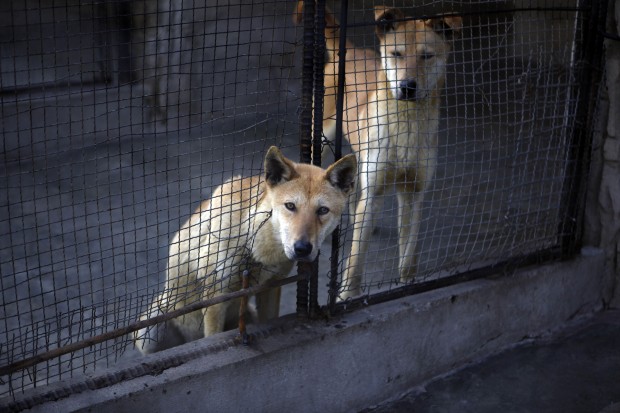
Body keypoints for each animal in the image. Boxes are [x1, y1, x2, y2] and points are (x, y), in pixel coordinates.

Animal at [136, 146, 358, 352]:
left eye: (322, 211)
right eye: (290, 206)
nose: (302, 248)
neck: (253, 243)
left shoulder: (271, 286)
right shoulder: (216, 295)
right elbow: (213, 337)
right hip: (148, 329)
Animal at [294, 4, 460, 300]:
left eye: (426, 56)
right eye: (396, 54)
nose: (407, 86)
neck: (407, 123)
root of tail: (348, 49)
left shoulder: (414, 192)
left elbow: (409, 250)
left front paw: (408, 283)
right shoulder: (373, 192)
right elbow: (356, 256)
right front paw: (347, 294)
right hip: (322, 138)